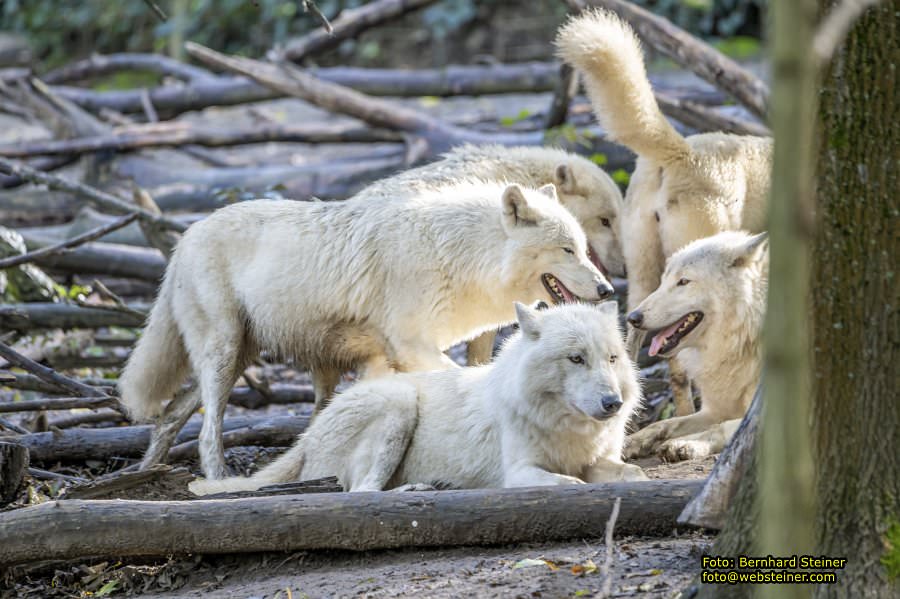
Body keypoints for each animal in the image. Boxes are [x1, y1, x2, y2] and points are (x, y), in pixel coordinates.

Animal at [119, 180, 612, 480]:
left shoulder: (380, 360)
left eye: (582, 248)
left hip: (238, 356)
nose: (607, 289)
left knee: (170, 414)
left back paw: (144, 472)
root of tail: (185, 237)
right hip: (224, 354)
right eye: (567, 250)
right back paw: (216, 478)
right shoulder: (413, 347)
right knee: (206, 428)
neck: (457, 256)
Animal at [192, 300, 648, 496]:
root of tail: (308, 435)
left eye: (611, 358)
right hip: (397, 405)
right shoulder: (518, 472)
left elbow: (632, 473)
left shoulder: (599, 458)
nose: (612, 404)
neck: (567, 427)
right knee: (360, 493)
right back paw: (415, 489)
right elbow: (566, 481)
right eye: (576, 358)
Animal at [624, 232, 768, 462]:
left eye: (683, 281)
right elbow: (664, 424)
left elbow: (721, 429)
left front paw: (685, 444)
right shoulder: (715, 410)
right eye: (663, 281)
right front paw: (631, 442)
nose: (632, 317)